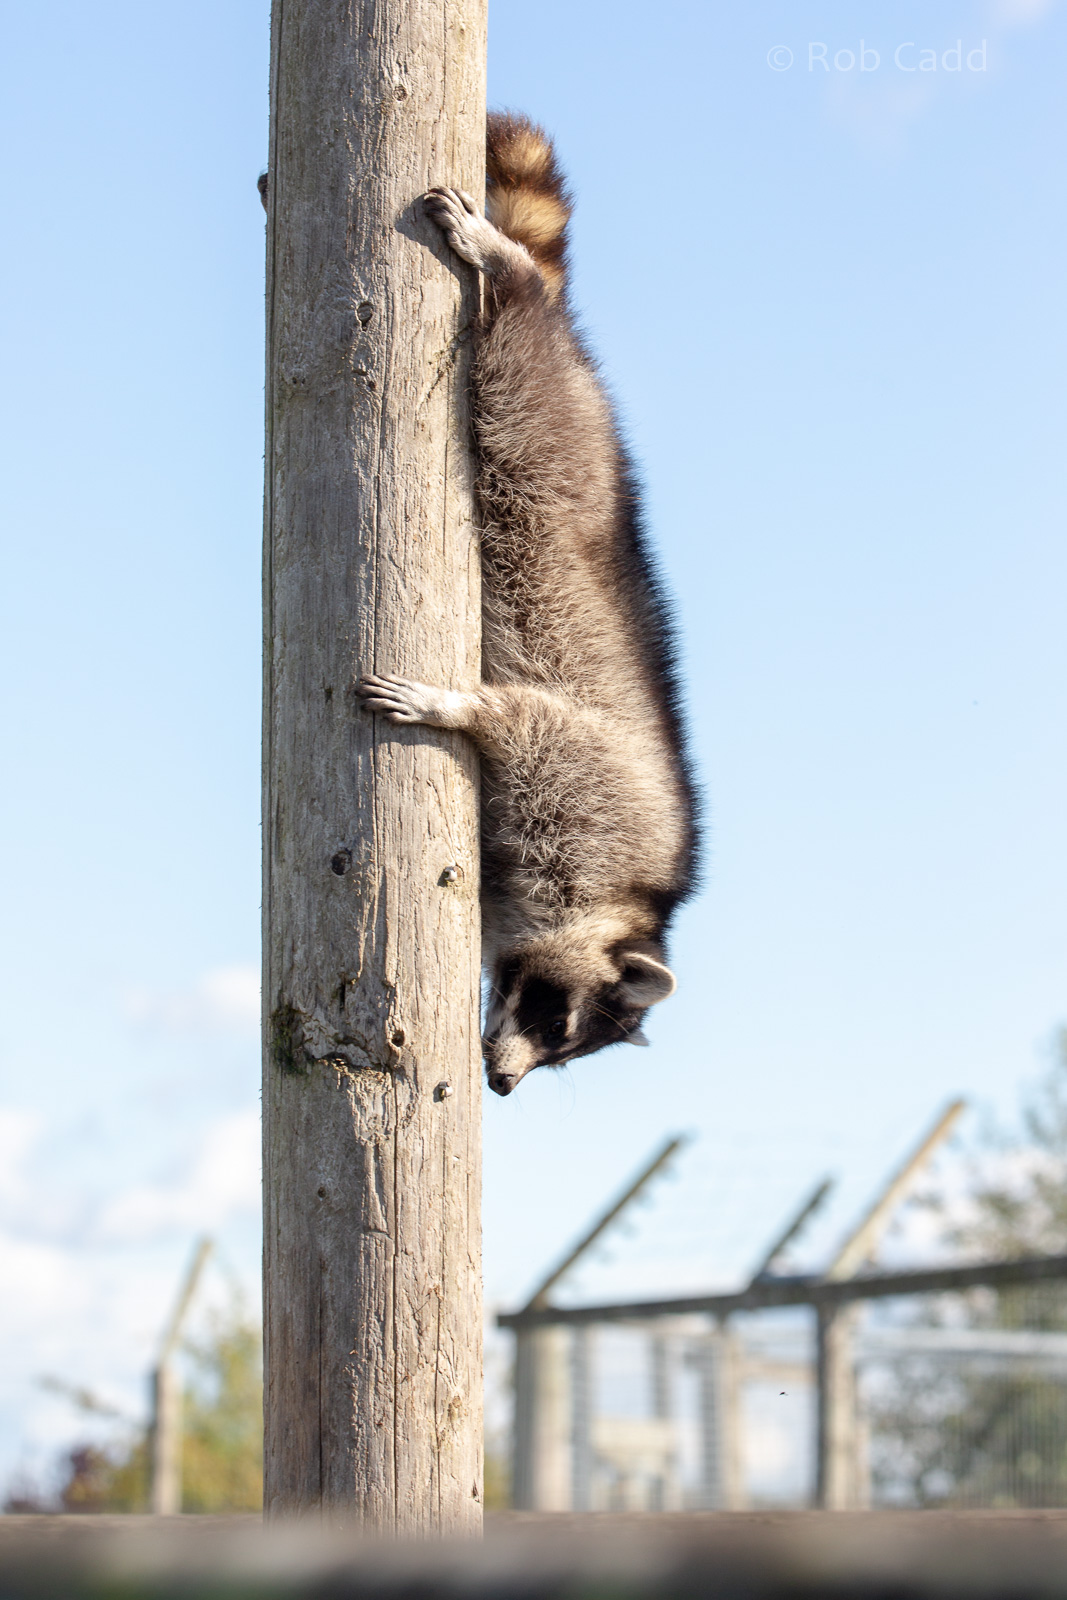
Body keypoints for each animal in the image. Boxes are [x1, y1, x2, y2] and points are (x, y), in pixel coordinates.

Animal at [359, 114, 699, 1095]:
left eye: (560, 1049)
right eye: (556, 1015)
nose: (504, 1085)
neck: (624, 900)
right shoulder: (594, 787)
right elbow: (528, 723)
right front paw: (455, 704)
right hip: (558, 438)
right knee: (518, 367)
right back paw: (510, 278)